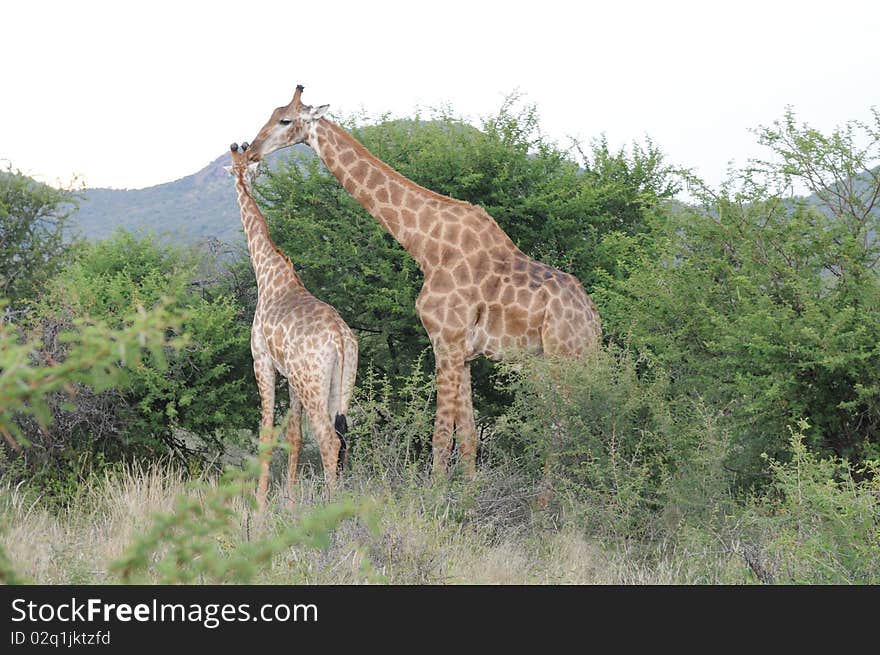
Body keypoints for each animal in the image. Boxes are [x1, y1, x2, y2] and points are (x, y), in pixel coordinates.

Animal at [230, 141, 360, 510]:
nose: (239, 177)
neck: (268, 273)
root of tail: (340, 338)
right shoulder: (291, 375)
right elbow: (294, 437)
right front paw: (288, 501)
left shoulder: (262, 362)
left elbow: (267, 434)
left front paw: (260, 507)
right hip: (339, 383)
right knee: (344, 437)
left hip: (313, 383)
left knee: (330, 440)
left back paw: (331, 510)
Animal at [244, 86, 600, 476]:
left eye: (285, 120)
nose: (250, 150)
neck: (428, 248)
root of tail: (593, 319)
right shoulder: (463, 353)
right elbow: (468, 439)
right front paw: (468, 492)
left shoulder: (445, 343)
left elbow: (441, 439)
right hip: (559, 358)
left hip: (563, 357)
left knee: (565, 428)